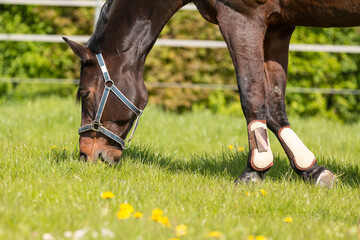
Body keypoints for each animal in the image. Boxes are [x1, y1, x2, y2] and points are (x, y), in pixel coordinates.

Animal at [63, 0, 358, 188]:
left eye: (85, 93)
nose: (86, 156)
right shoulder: (278, 27)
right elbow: (274, 105)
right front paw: (311, 169)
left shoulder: (241, 20)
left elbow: (251, 95)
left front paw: (253, 172)